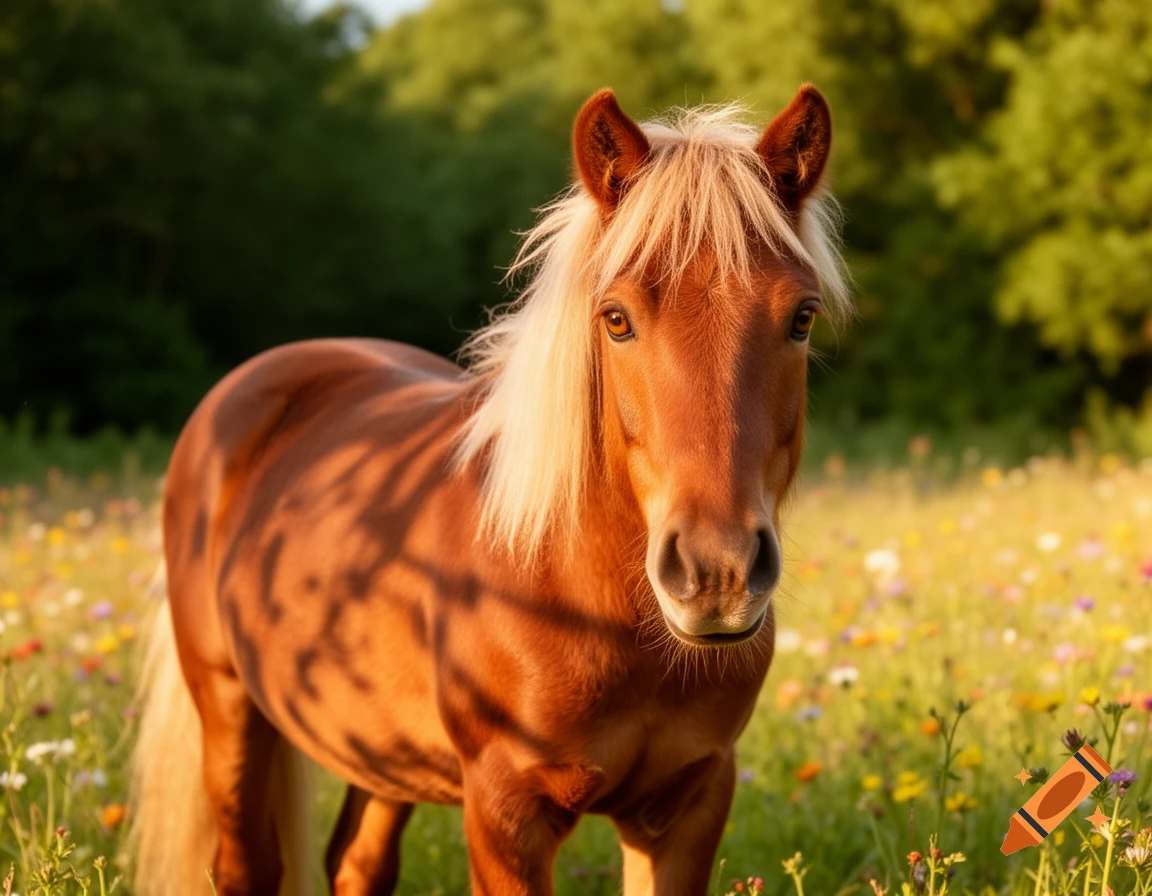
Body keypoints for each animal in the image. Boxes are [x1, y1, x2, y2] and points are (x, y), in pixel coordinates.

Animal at [128, 83, 850, 896]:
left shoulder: (689, 804)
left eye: (801, 318)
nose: (717, 573)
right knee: (248, 864)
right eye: (617, 320)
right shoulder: (506, 810)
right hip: (229, 708)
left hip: (383, 753)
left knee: (357, 864)